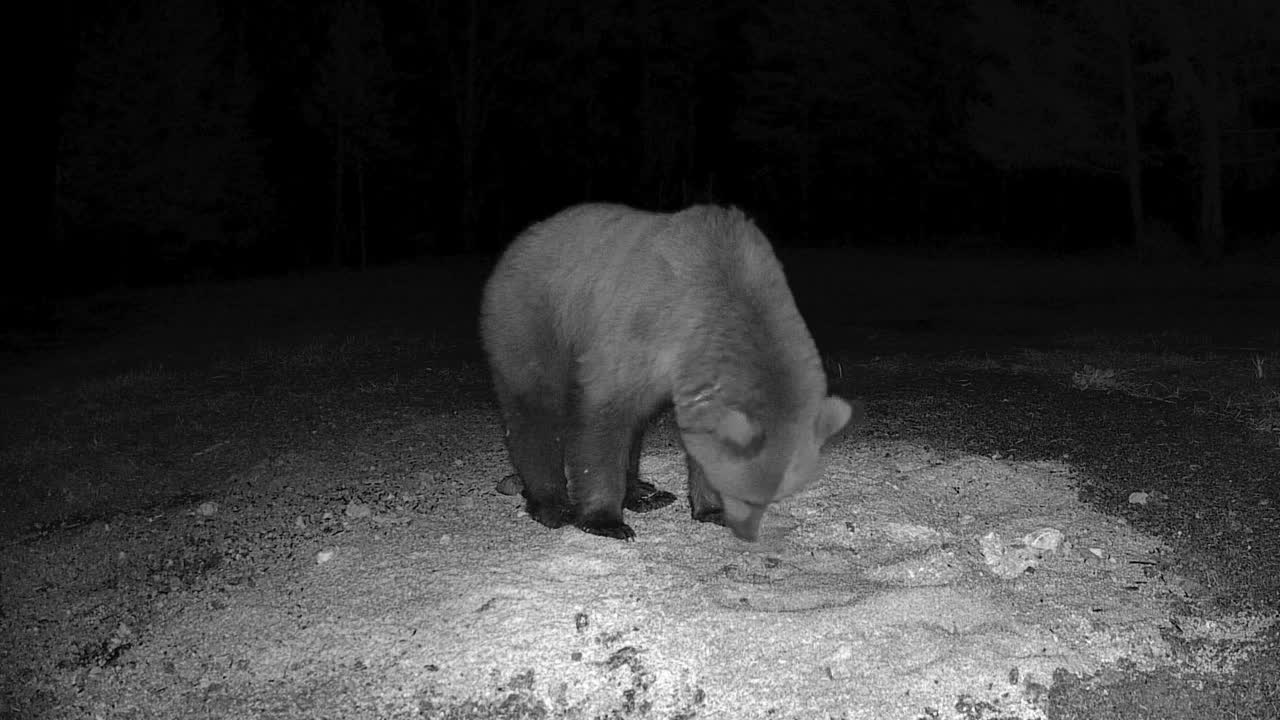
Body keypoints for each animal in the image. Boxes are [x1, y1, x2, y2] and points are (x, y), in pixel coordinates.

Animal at [478, 202, 849, 538]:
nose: (748, 523)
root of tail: (517, 245)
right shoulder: (641, 328)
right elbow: (604, 420)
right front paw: (605, 521)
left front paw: (709, 508)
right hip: (533, 321)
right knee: (536, 411)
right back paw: (552, 504)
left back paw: (644, 493)